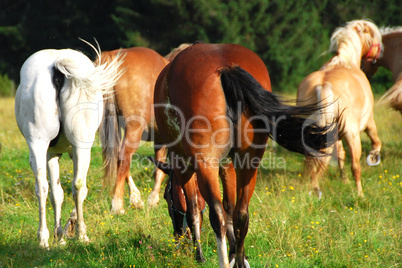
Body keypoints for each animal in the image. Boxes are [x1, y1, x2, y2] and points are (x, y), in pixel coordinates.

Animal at [14, 43, 122, 248]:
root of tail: (57, 65)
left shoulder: (51, 154)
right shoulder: (71, 152)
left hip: (38, 142)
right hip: (81, 146)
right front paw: (68, 229)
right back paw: (81, 234)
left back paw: (43, 239)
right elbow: (73, 189)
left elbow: (57, 193)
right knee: (79, 186)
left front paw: (59, 235)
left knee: (42, 187)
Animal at [152, 43, 338, 266]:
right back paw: (238, 260)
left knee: (217, 215)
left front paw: (200, 255)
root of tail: (226, 67)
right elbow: (230, 208)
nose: (177, 236)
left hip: (206, 163)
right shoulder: (228, 165)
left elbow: (193, 211)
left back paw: (223, 261)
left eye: (167, 198)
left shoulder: (184, 165)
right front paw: (235, 252)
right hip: (249, 162)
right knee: (241, 213)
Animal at [296, 19, 384, 198]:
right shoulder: (368, 121)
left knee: (313, 162)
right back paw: (360, 195)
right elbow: (375, 140)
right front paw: (374, 157)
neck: (345, 62)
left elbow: (341, 156)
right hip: (352, 135)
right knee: (355, 166)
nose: (380, 51)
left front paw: (344, 181)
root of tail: (323, 85)